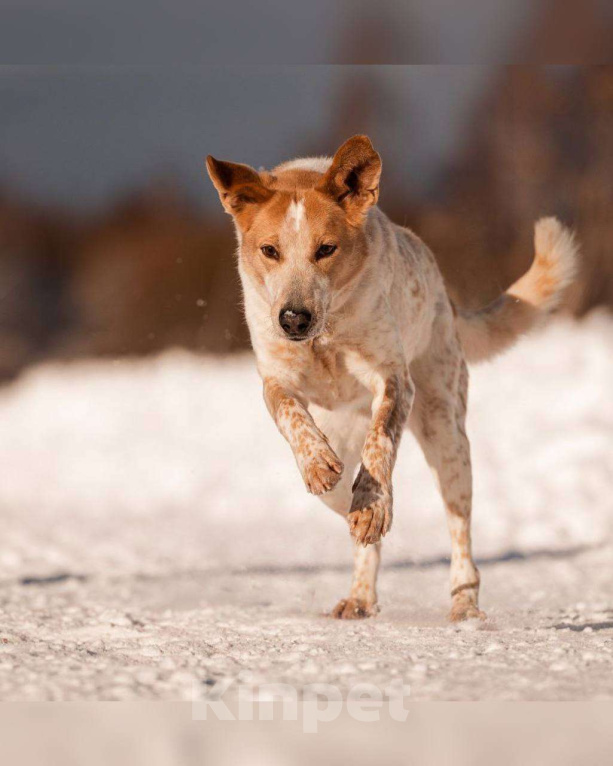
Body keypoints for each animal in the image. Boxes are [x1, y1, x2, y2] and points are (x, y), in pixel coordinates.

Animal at [207, 134, 580, 624]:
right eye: (269, 251)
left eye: (326, 249)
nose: (293, 318)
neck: (326, 337)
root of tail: (447, 298)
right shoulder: (276, 379)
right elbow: (292, 414)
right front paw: (316, 462)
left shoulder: (393, 379)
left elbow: (380, 442)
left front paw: (374, 503)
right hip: (345, 478)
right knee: (355, 523)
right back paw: (360, 594)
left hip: (447, 438)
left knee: (458, 530)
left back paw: (463, 602)